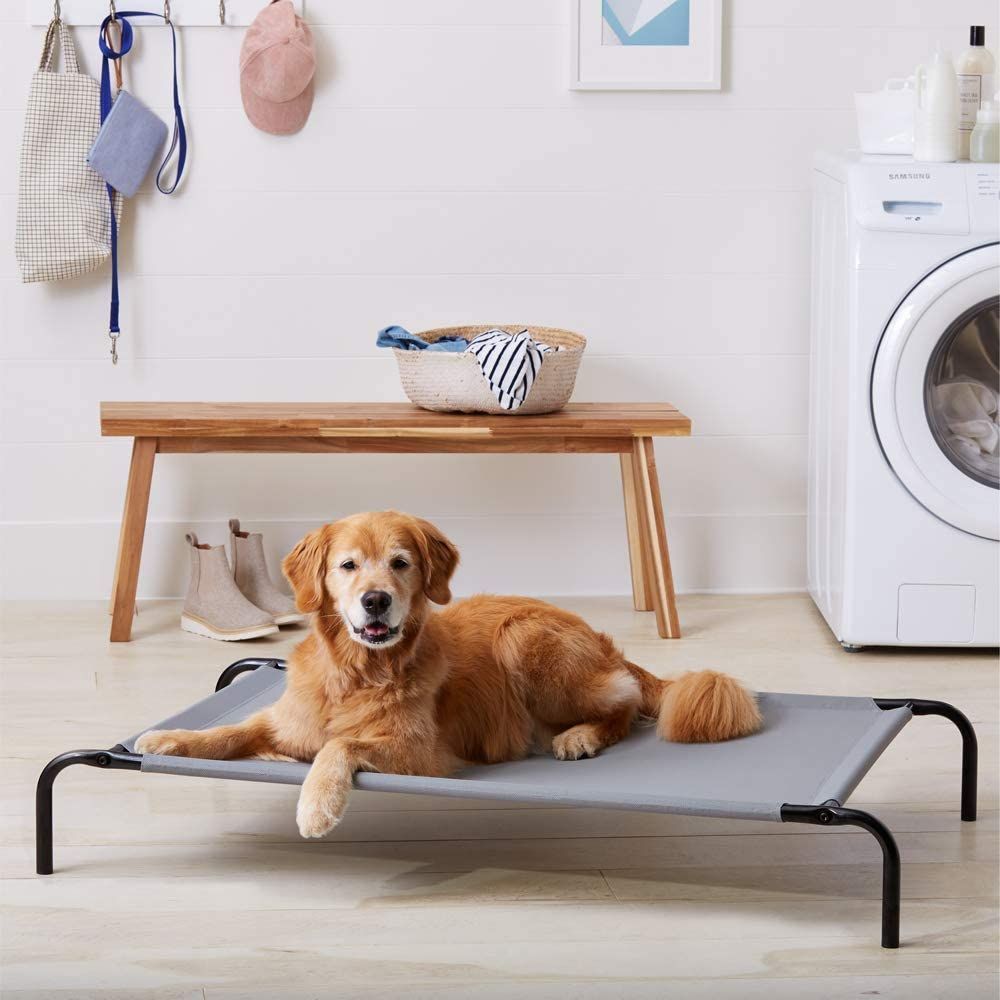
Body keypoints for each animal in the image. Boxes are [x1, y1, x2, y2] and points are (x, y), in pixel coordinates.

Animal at [137, 512, 760, 840]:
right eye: (347, 566)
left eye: (400, 563)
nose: (376, 601)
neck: (359, 672)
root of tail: (597, 636)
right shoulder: (287, 719)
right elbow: (232, 729)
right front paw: (169, 738)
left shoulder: (423, 751)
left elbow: (338, 746)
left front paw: (316, 805)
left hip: (525, 640)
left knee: (625, 703)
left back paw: (580, 736)